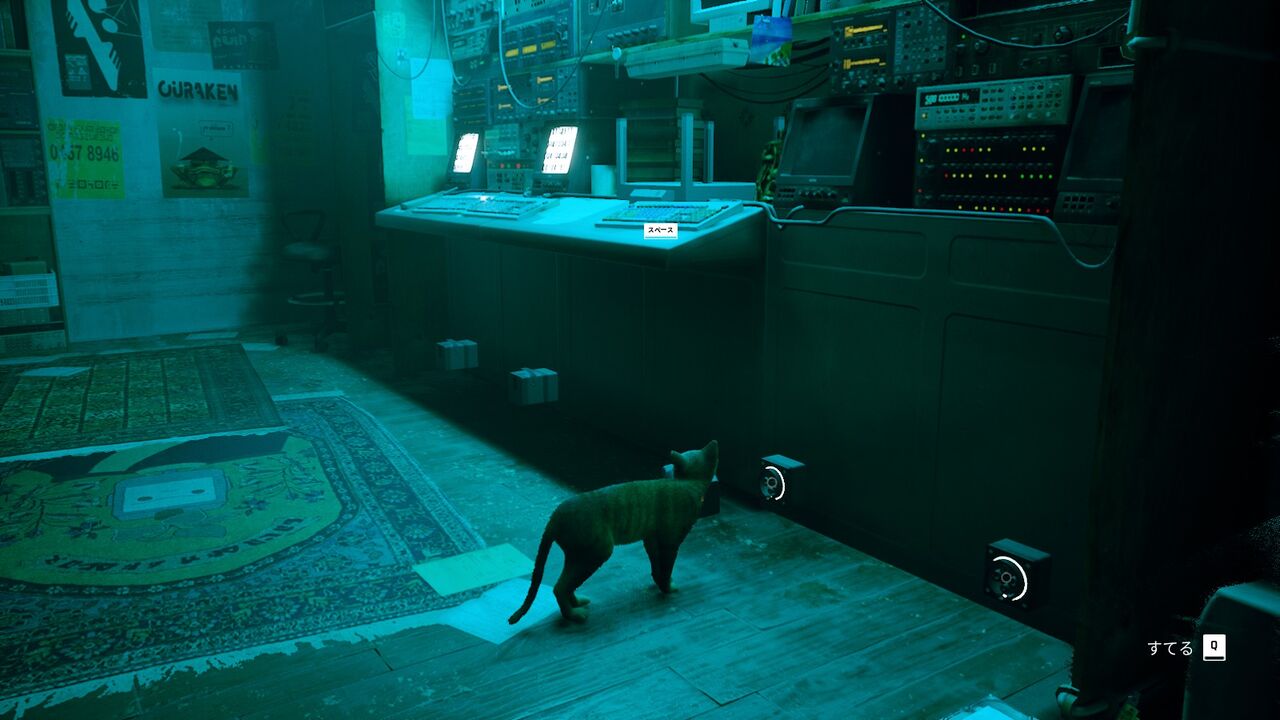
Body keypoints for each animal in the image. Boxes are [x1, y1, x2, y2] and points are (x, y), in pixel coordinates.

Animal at [508, 440, 719, 624]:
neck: (688, 480)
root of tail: (554, 518)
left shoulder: (651, 538)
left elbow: (656, 565)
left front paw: (659, 582)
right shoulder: (670, 542)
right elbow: (666, 567)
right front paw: (667, 588)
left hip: (577, 554)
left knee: (566, 583)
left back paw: (577, 603)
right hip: (596, 552)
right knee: (560, 587)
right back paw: (575, 615)